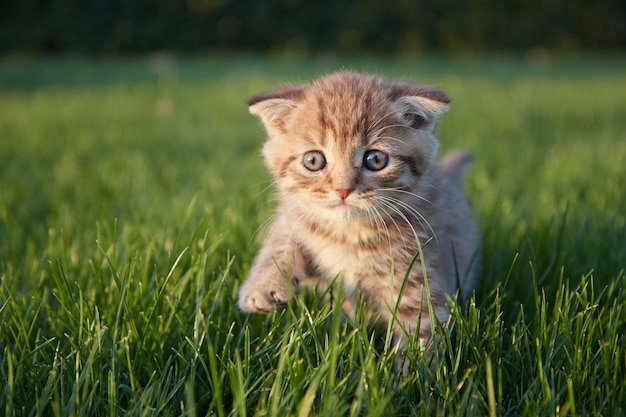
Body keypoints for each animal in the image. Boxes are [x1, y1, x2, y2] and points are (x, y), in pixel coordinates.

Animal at [236, 71, 476, 364]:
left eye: (375, 159)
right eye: (313, 160)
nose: (343, 189)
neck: (348, 233)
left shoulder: (415, 272)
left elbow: (421, 329)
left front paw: (414, 373)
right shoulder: (297, 216)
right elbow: (282, 240)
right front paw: (263, 287)